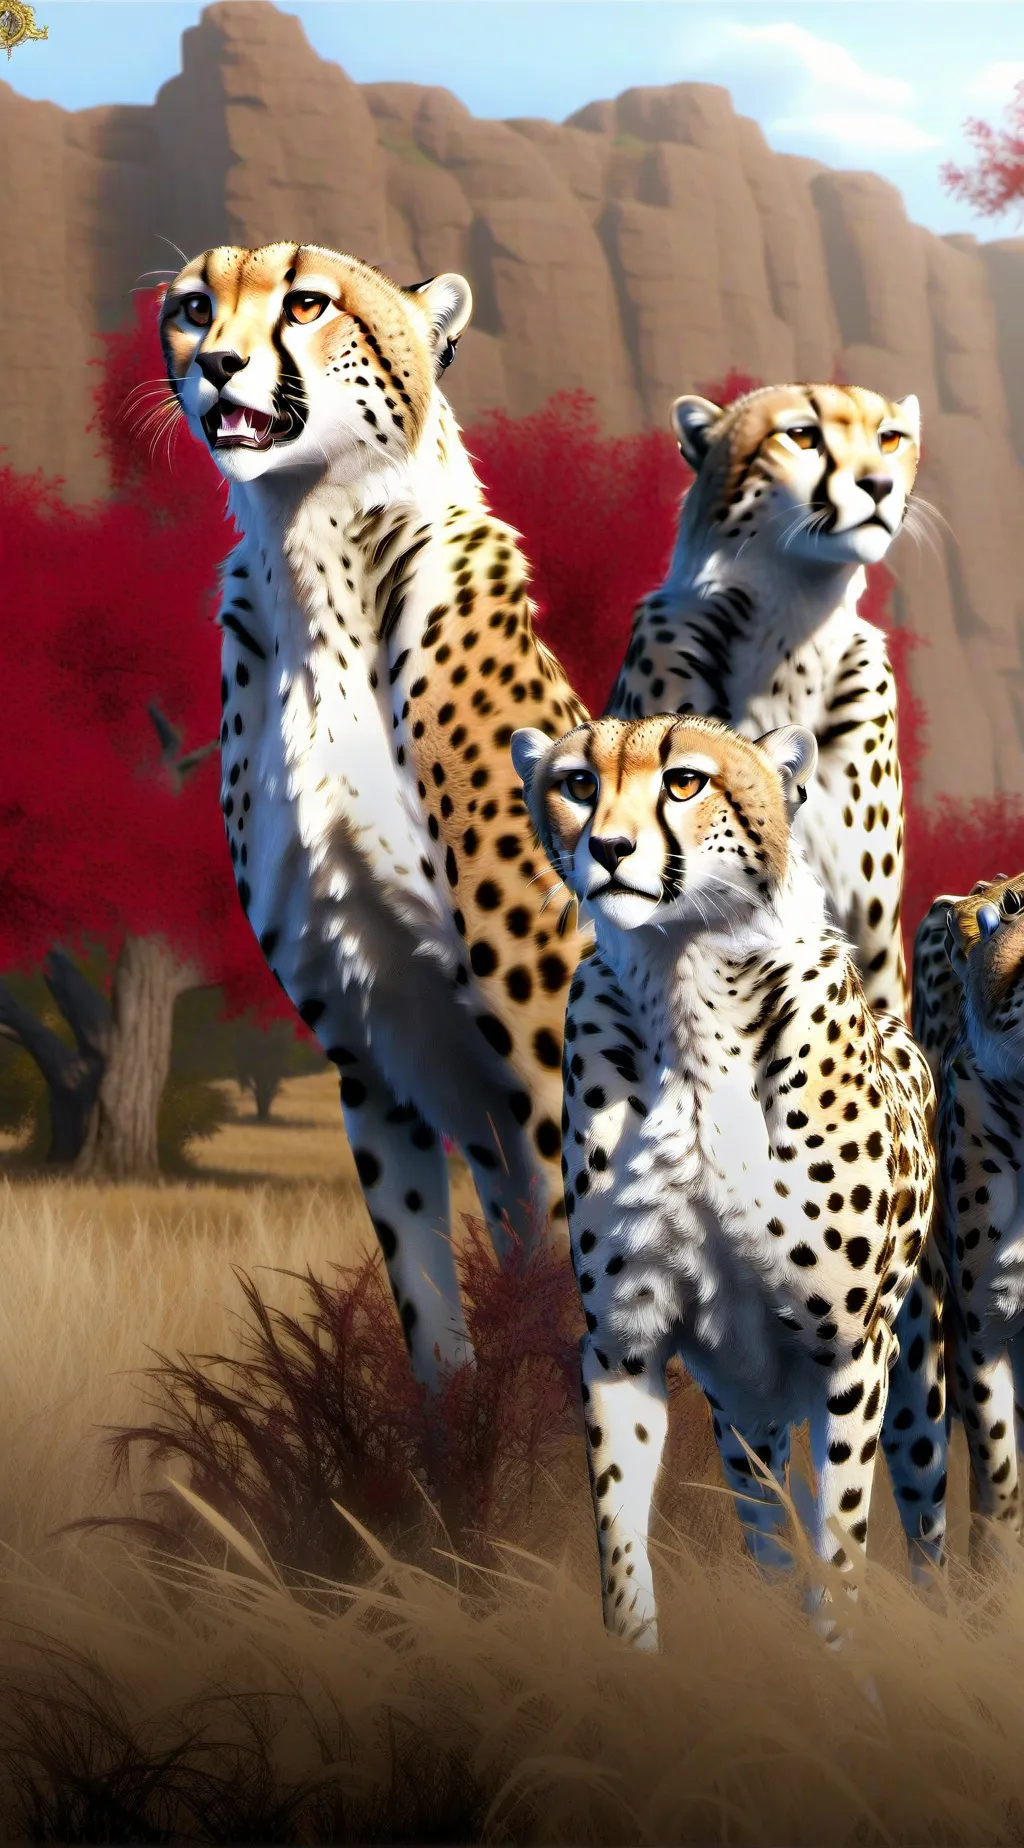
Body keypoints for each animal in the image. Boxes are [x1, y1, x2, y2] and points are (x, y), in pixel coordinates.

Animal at [159, 242, 588, 1390]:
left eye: (307, 302)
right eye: (192, 307)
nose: (215, 364)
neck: (314, 565)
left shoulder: (546, 1057)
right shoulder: (366, 1049)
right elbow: (434, 1324)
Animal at [511, 711, 936, 1649]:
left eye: (684, 782)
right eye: (578, 784)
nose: (610, 848)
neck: (687, 985)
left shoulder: (852, 1358)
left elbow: (840, 1548)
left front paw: (839, 1660)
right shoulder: (622, 1343)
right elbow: (621, 1541)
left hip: (911, 1385)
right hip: (744, 1419)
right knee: (768, 1526)